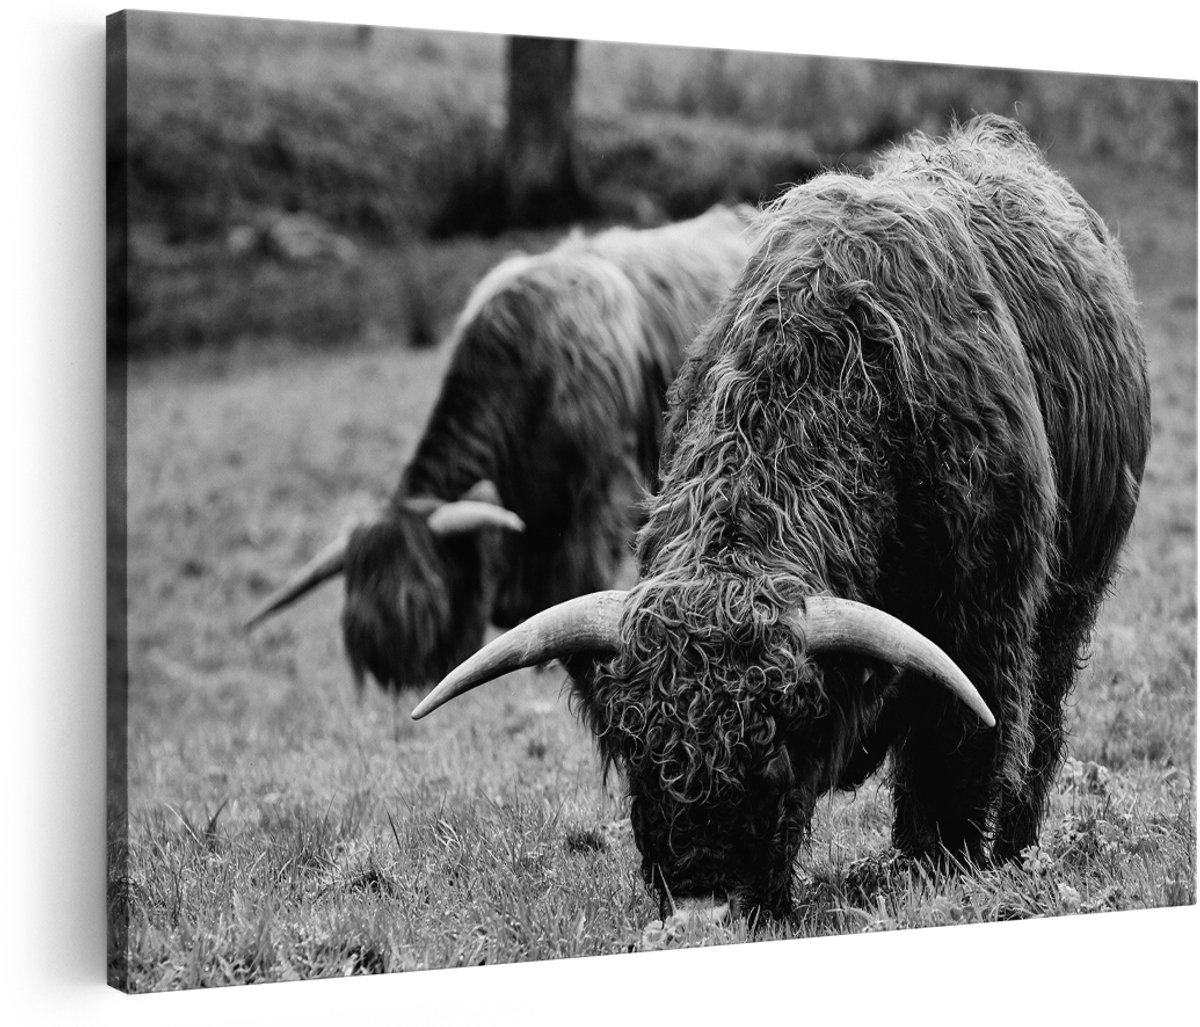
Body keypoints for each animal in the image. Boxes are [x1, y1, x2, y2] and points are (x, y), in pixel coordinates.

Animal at [412, 116, 1152, 923]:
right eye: (636, 752)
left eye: (773, 749)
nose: (703, 907)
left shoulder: (982, 623)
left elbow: (959, 754)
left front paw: (943, 870)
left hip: (1073, 596)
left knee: (1041, 722)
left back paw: (1016, 847)